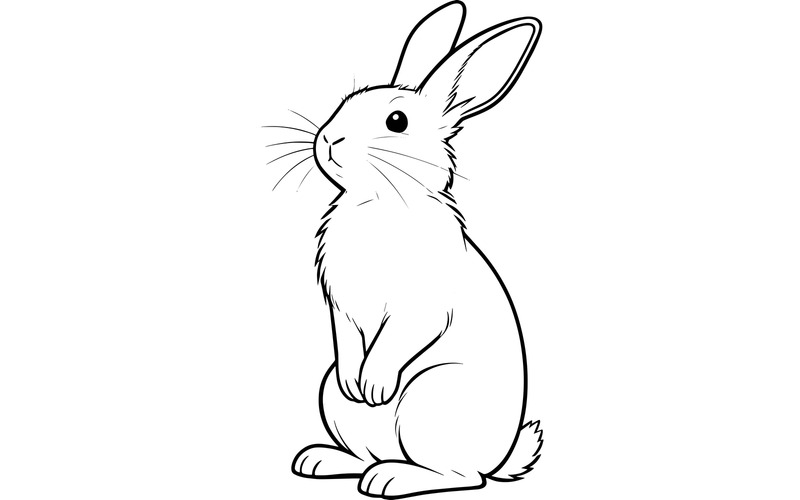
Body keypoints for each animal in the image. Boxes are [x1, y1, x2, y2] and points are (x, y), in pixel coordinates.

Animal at [289, 2, 543, 497]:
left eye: (397, 122)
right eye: (345, 103)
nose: (328, 140)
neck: (378, 200)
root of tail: (502, 456)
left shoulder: (419, 307)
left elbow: (399, 338)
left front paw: (373, 386)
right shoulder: (341, 308)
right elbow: (346, 337)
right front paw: (355, 380)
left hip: (431, 401)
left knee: (462, 476)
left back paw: (390, 478)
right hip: (334, 401)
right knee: (365, 453)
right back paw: (322, 460)